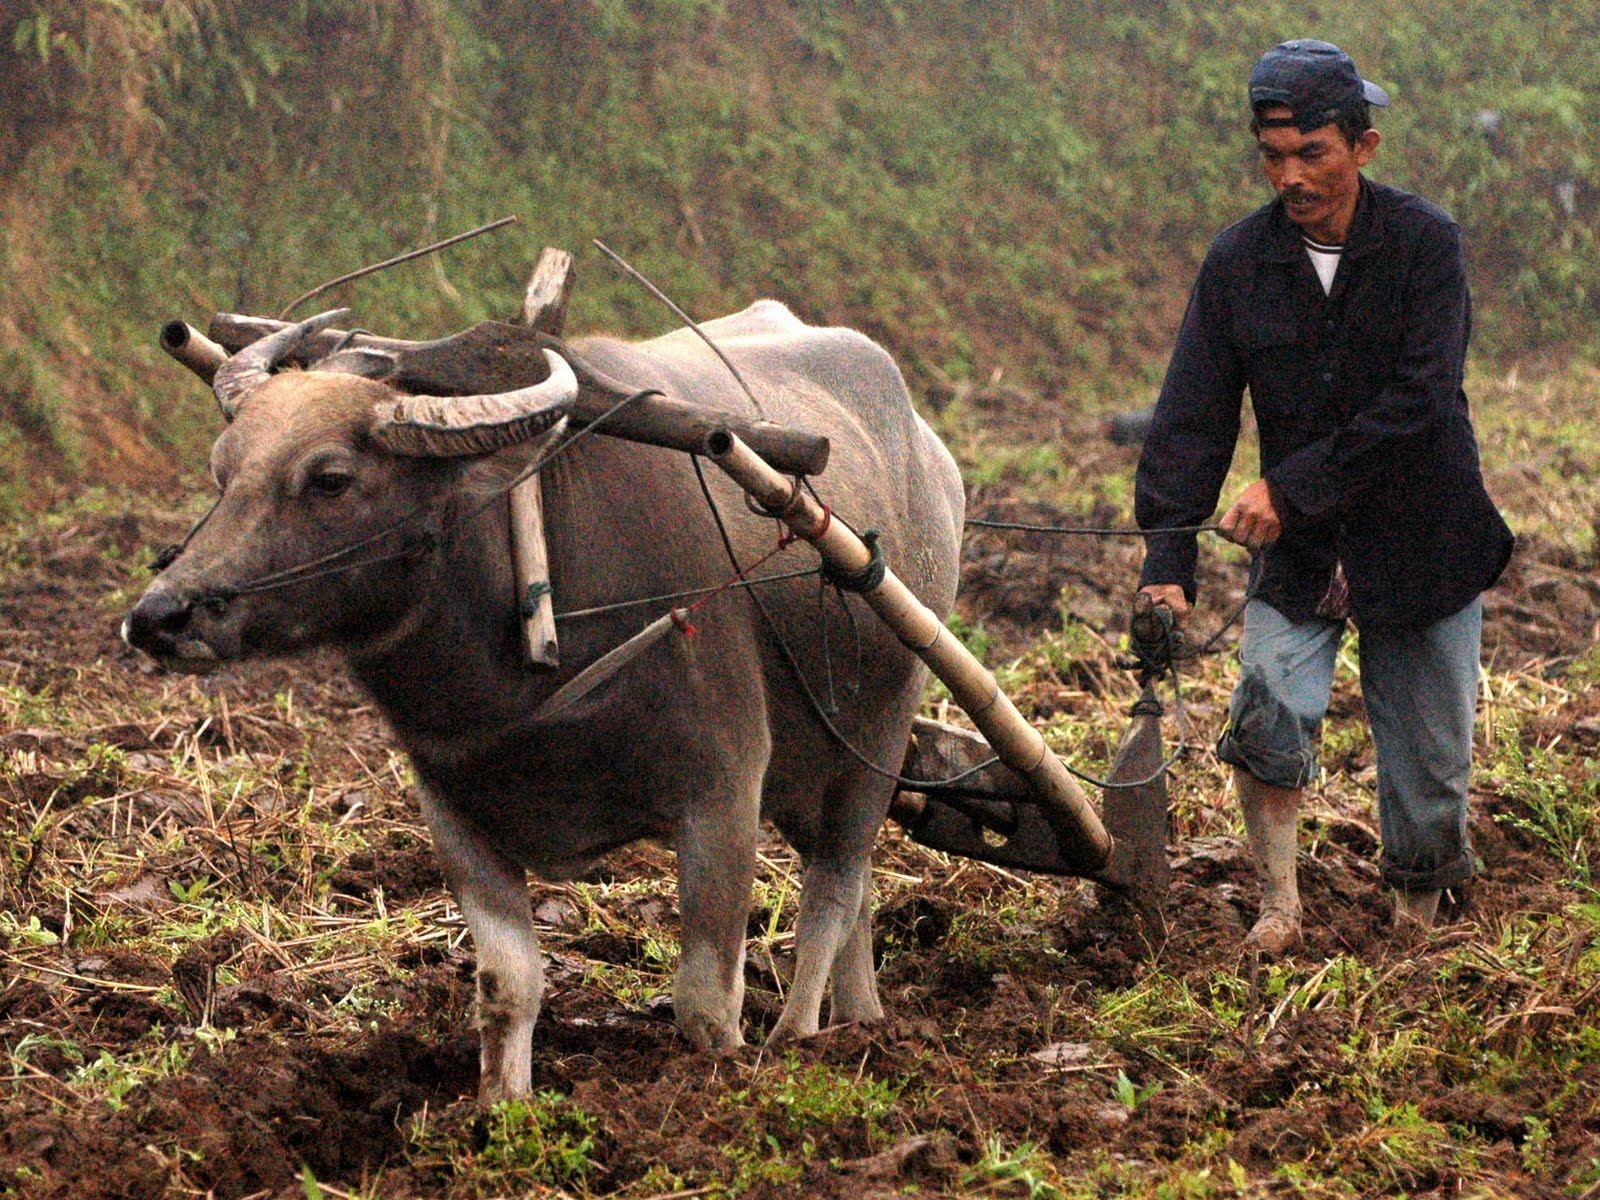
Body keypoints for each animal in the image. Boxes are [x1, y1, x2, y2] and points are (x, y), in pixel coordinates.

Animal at [124, 299, 960, 1100]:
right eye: (224, 471)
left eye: (329, 478)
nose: (159, 616)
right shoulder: (457, 816)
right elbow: (508, 986)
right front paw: (501, 1108)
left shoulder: (721, 793)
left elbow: (705, 1004)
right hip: (807, 771)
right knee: (856, 890)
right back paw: (862, 1019)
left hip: (878, 735)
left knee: (833, 892)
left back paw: (801, 1037)